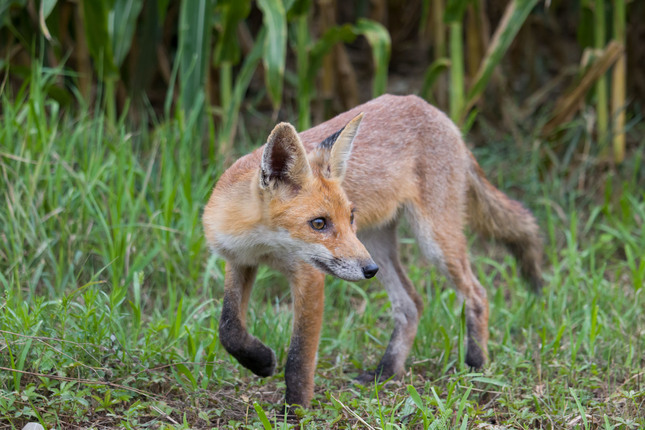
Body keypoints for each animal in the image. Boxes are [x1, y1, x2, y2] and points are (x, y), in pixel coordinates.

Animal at [203, 95, 544, 410]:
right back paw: (387, 371)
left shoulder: (308, 276)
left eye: (349, 217)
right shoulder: (238, 262)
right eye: (319, 223)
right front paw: (260, 361)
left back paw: (476, 365)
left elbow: (299, 358)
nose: (369, 271)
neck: (261, 246)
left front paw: (295, 410)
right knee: (411, 304)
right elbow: (229, 329)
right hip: (375, 245)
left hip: (429, 241)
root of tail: (432, 109)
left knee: (476, 293)